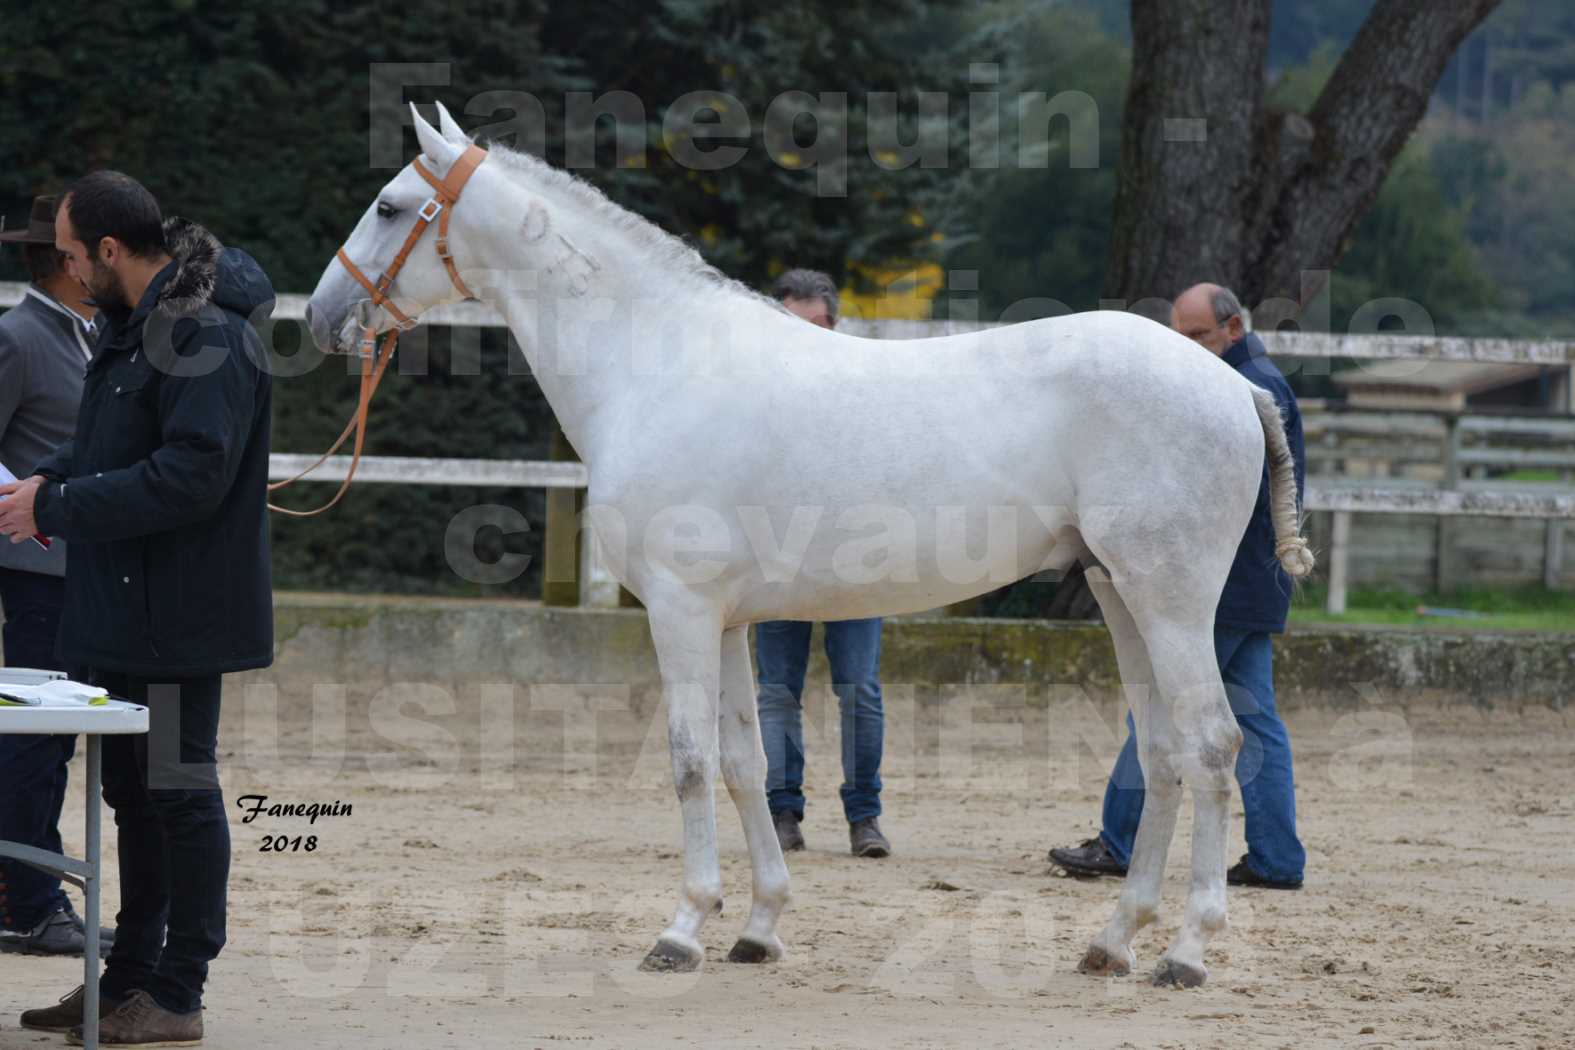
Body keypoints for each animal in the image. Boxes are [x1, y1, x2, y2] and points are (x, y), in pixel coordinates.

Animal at [307, 102, 1316, 988]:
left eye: (389, 205)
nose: (321, 318)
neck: (655, 362)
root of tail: (1231, 386)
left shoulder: (677, 608)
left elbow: (688, 760)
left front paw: (680, 931)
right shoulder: (724, 620)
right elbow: (746, 762)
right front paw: (757, 927)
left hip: (1171, 601)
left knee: (1212, 746)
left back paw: (1186, 952)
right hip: (1117, 593)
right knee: (1162, 752)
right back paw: (1112, 942)